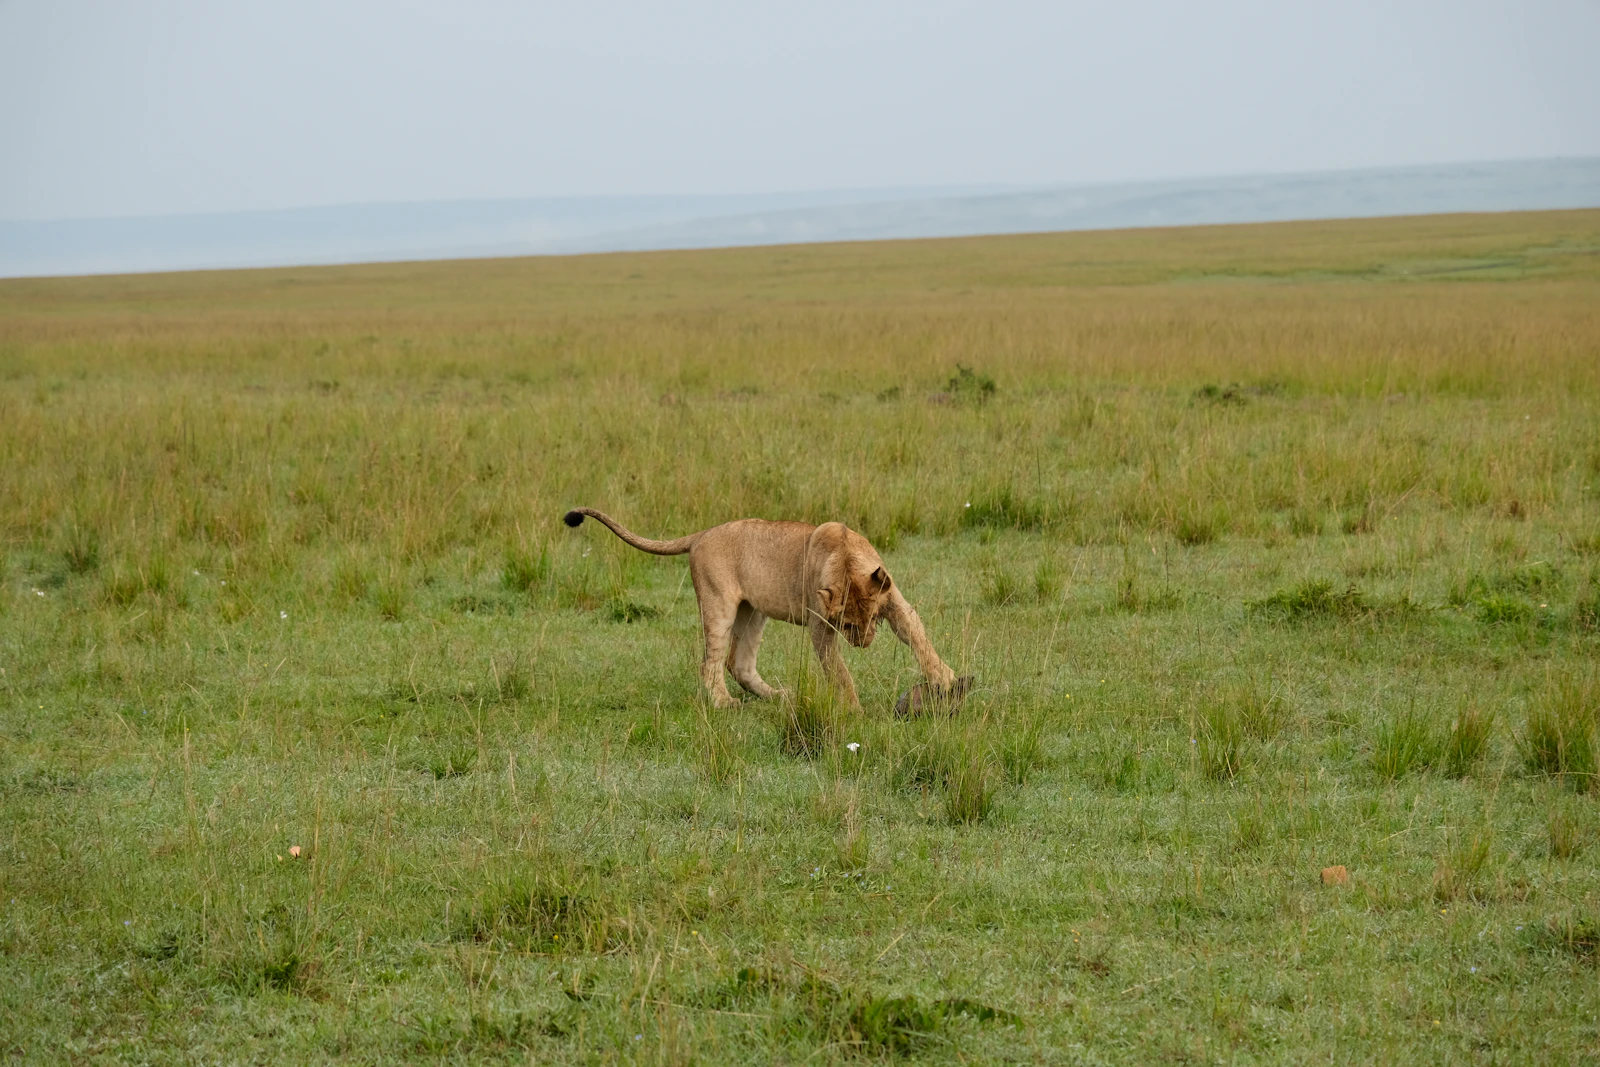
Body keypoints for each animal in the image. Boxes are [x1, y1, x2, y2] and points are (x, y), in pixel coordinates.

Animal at [562, 507, 964, 711]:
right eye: (847, 625)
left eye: (870, 620)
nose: (863, 644)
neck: (846, 558)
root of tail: (702, 534)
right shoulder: (820, 626)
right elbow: (839, 671)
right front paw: (853, 709)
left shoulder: (896, 604)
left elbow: (920, 641)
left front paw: (946, 679)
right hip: (719, 605)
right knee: (710, 662)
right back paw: (724, 703)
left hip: (753, 612)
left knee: (738, 664)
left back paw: (778, 696)